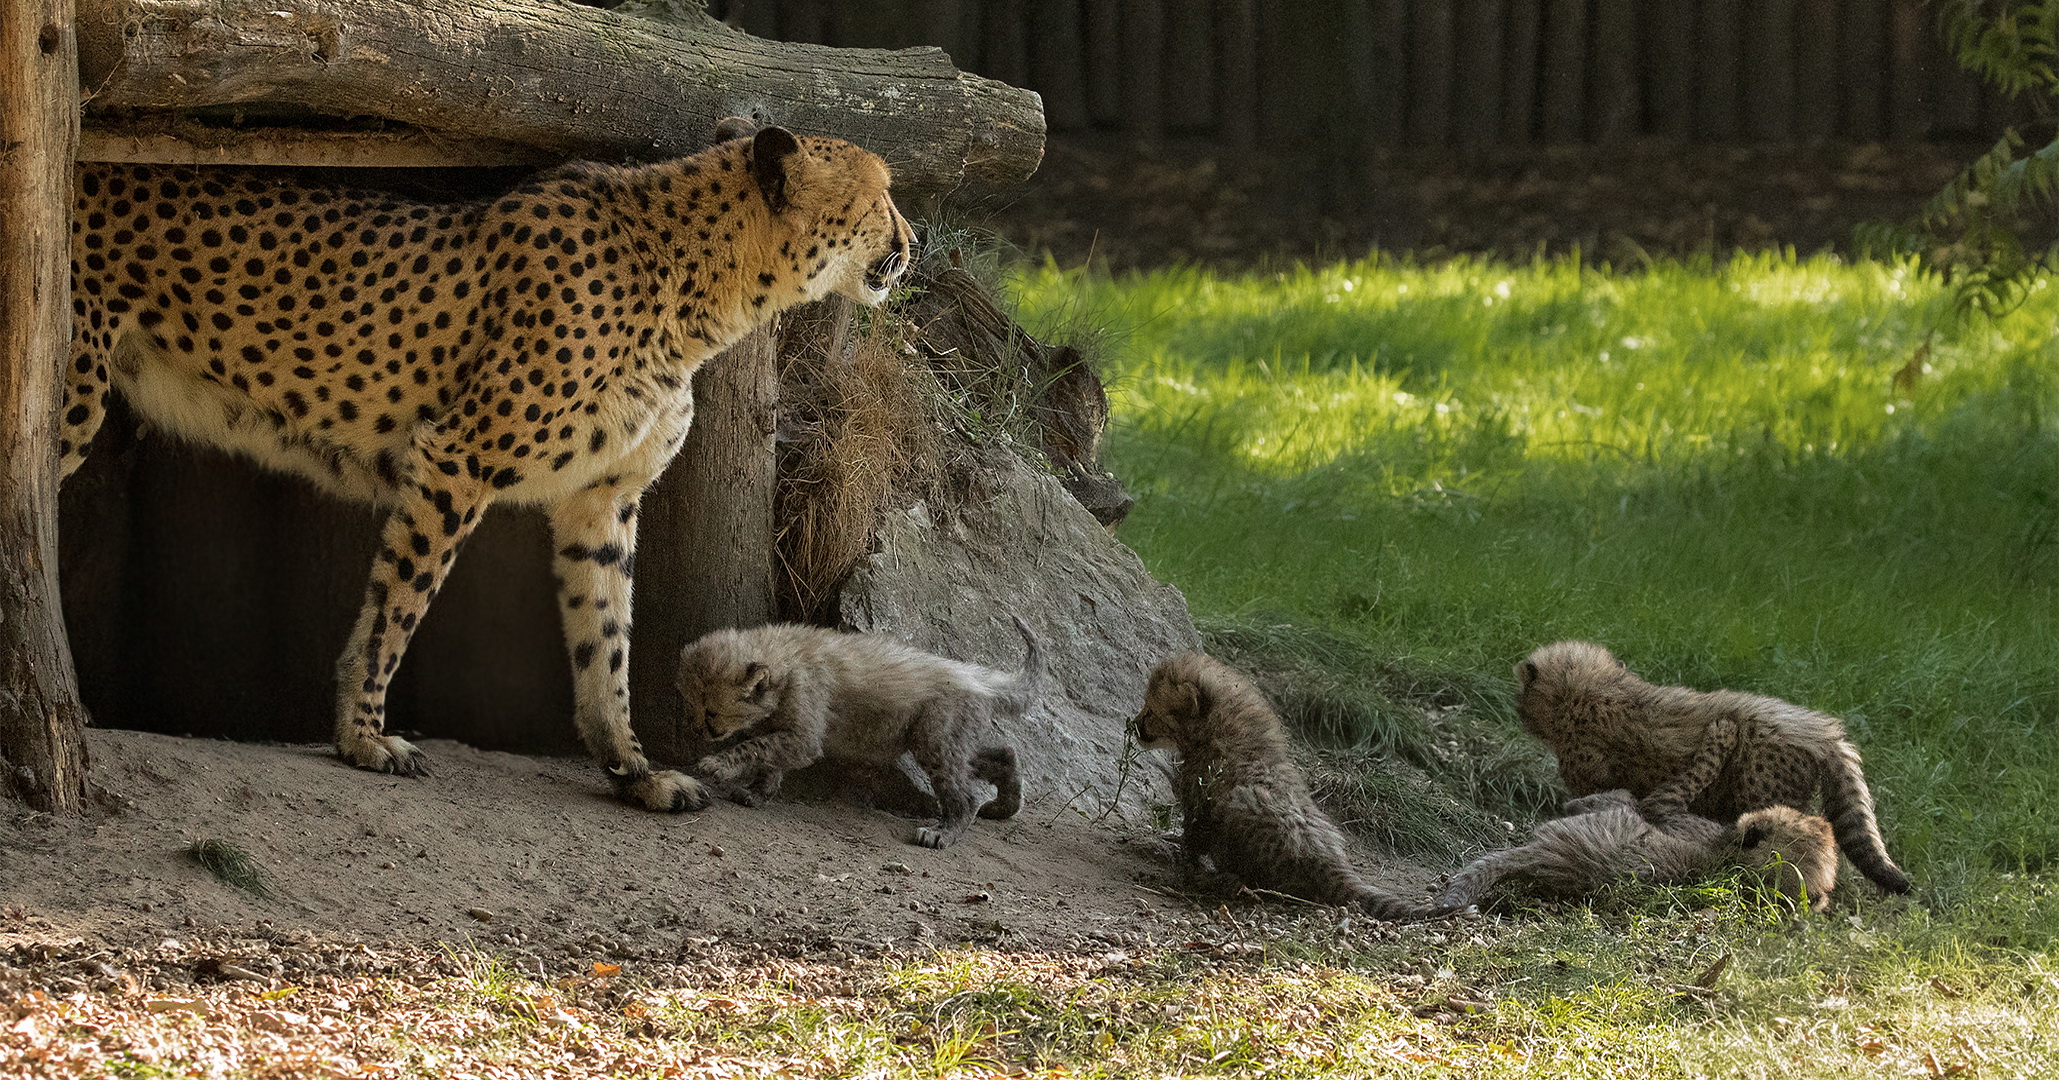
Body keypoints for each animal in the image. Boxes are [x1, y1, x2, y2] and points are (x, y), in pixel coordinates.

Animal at [60, 126, 914, 806]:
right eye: (881, 195)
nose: (915, 242)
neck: (696, 284)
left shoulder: (600, 500)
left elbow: (606, 641)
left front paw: (634, 771)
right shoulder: (455, 458)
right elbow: (397, 608)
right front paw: (363, 738)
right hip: (71, 392)